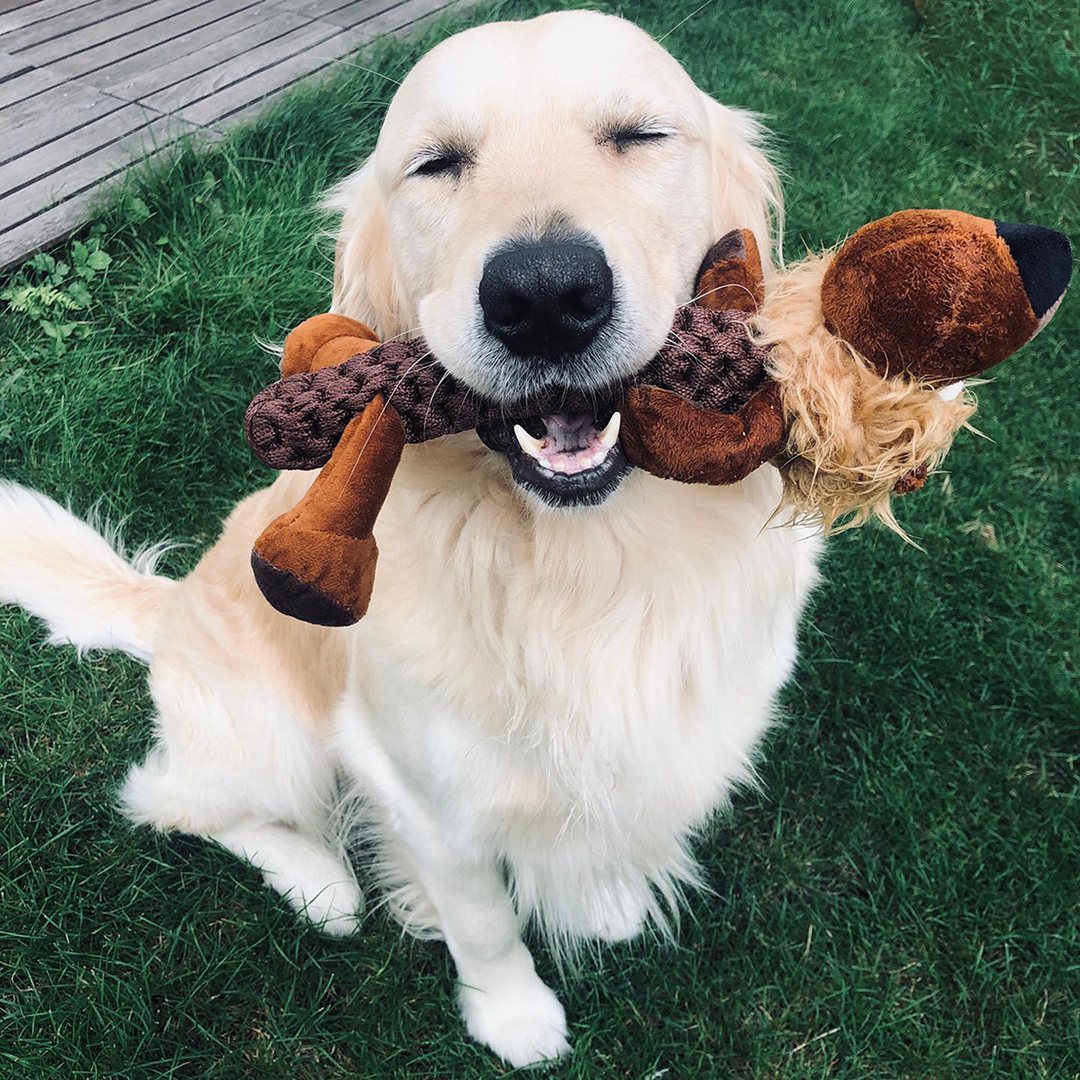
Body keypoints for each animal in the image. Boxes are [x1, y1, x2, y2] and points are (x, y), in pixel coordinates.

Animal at [0, 12, 816, 1067]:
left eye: (639, 135)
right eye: (436, 164)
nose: (544, 296)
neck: (578, 567)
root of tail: (168, 607)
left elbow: (596, 830)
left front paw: (601, 899)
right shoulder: (421, 785)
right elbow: (483, 918)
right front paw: (513, 1015)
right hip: (272, 739)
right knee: (169, 799)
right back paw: (318, 880)